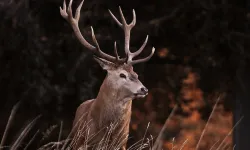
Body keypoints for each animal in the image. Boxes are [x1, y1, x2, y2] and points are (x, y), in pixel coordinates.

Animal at [59, 0, 155, 149]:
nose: (144, 89)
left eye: (136, 74)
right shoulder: (85, 142)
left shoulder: (122, 144)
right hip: (74, 139)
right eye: (122, 75)